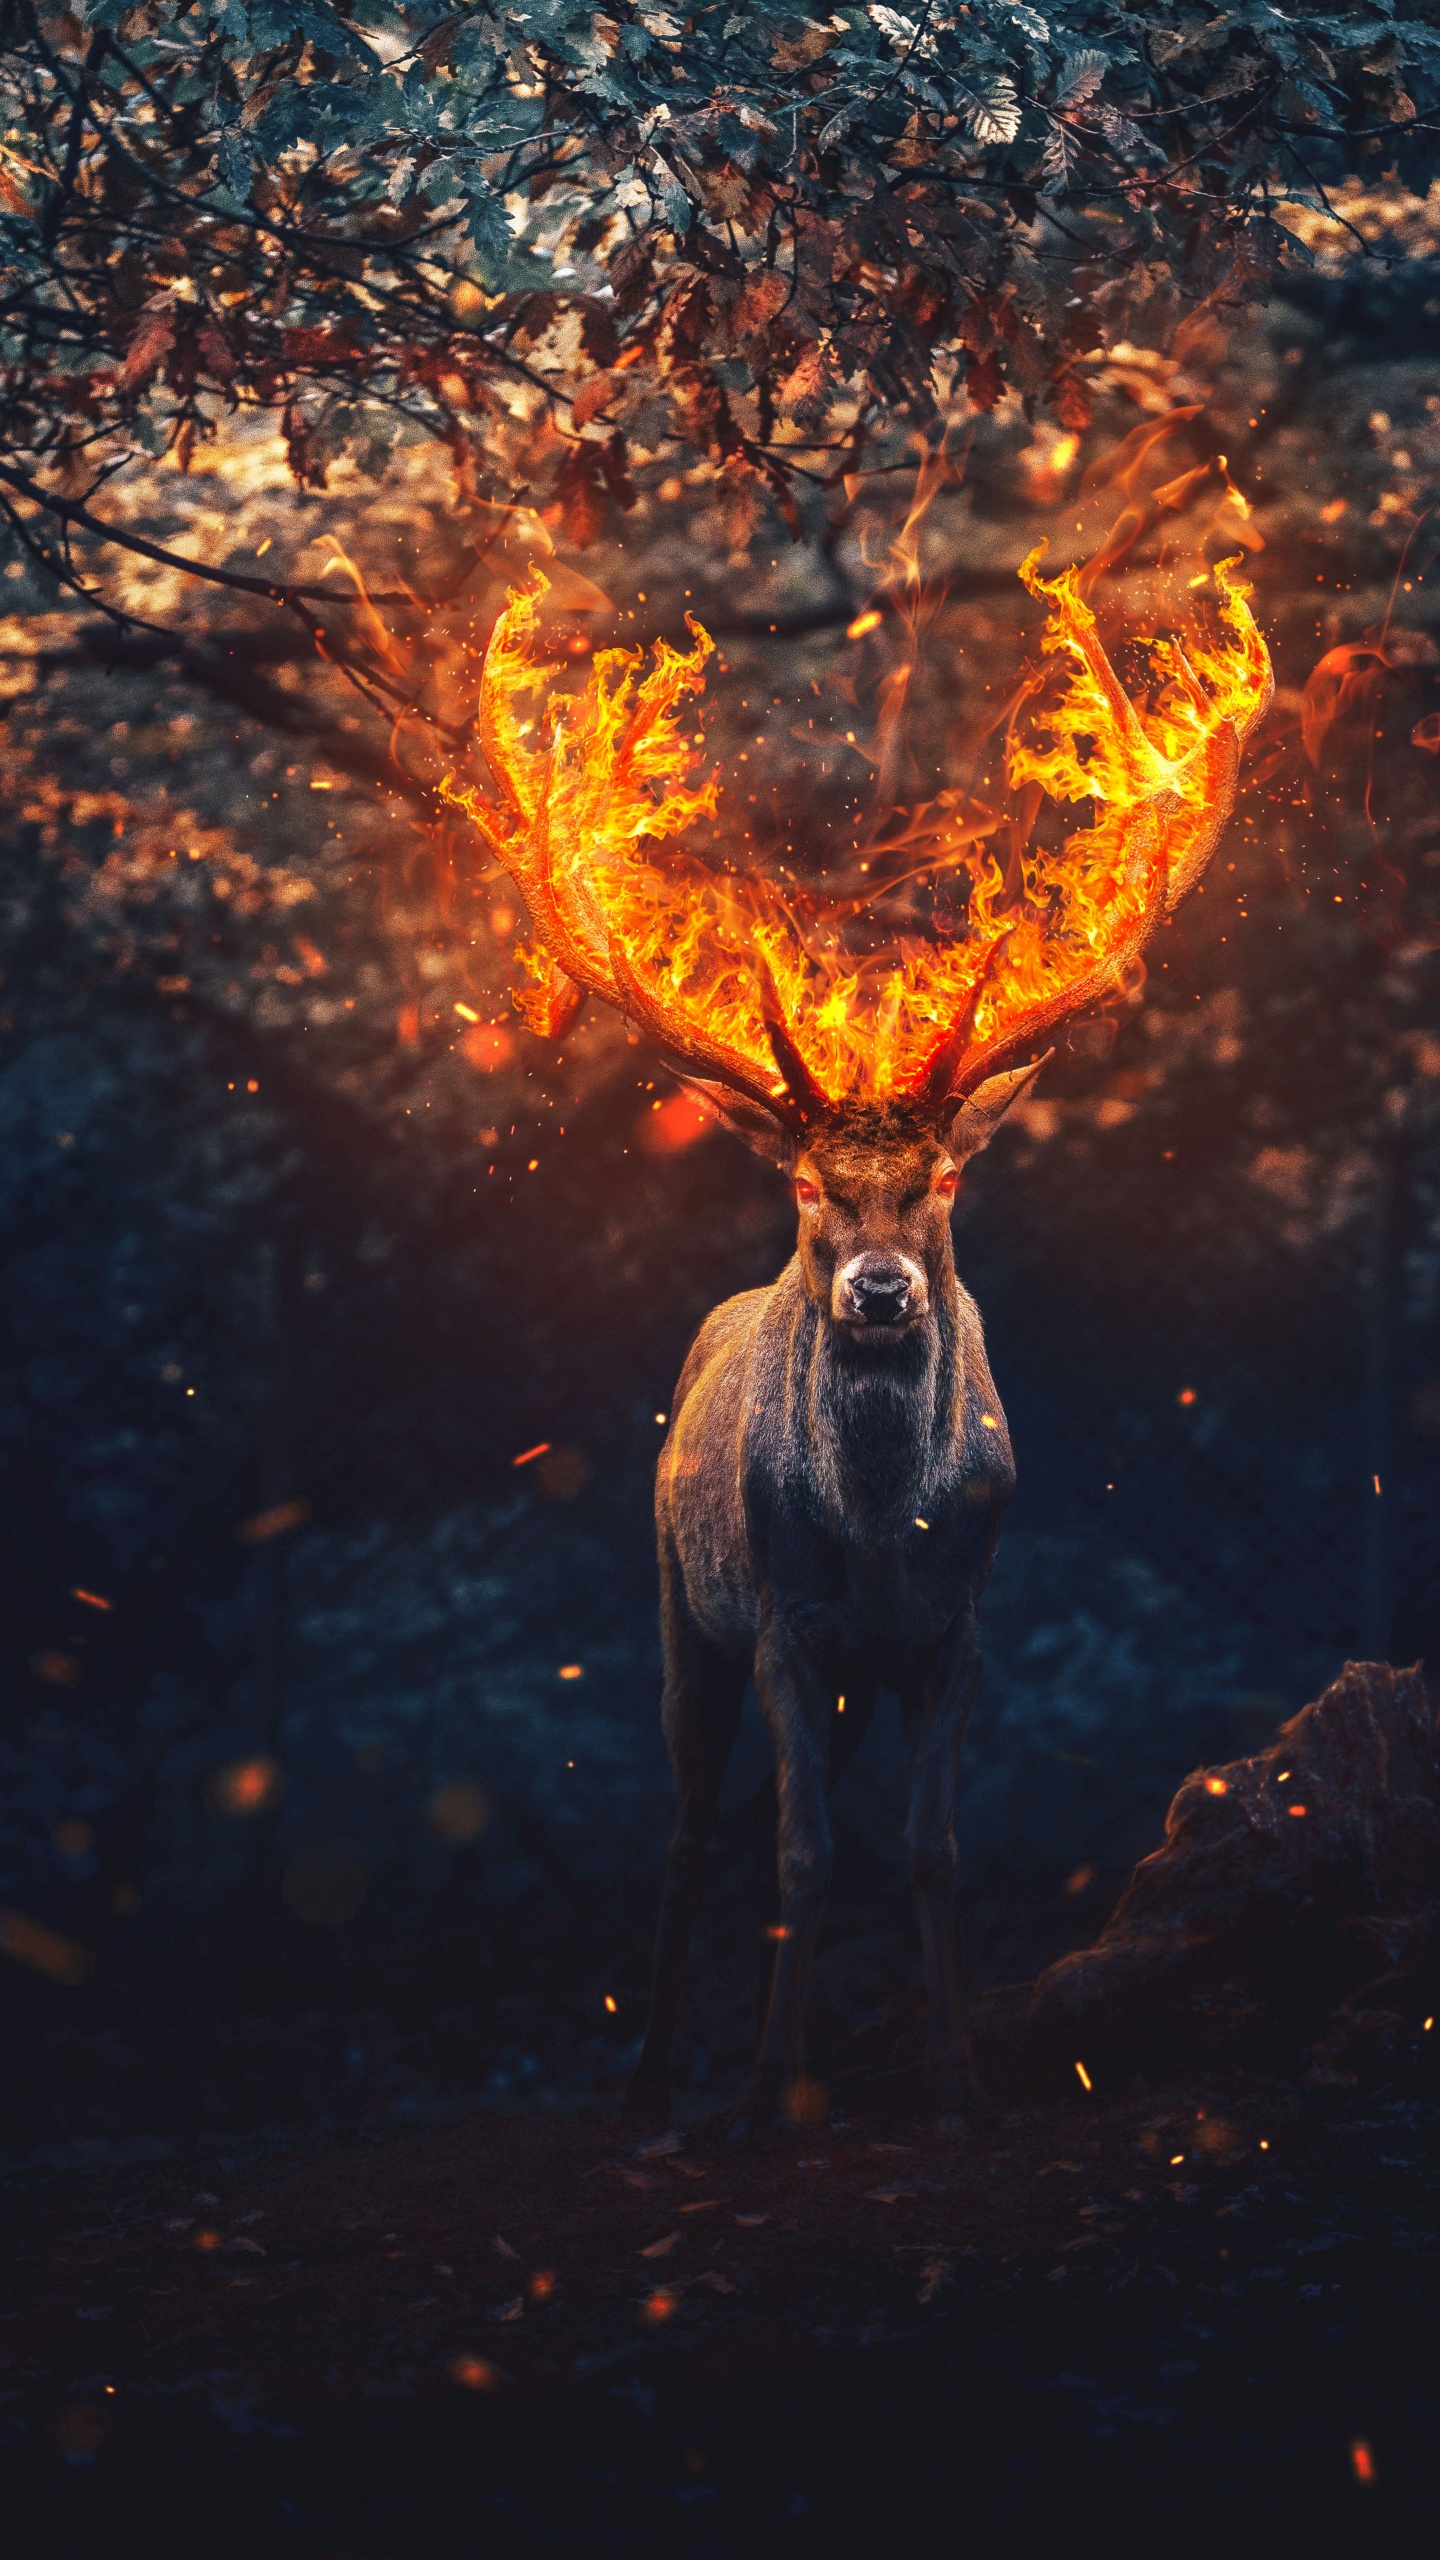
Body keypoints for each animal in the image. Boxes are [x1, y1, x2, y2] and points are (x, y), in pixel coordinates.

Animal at [444, 542, 1272, 2135]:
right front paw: (774, 2087)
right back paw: (655, 2080)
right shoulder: (785, 1615)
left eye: (942, 1177)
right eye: (810, 1186)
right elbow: (800, 1853)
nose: (881, 1292)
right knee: (698, 1826)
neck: (886, 1521)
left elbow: (930, 1849)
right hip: (679, 1606)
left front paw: (957, 2075)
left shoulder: (958, 1624)